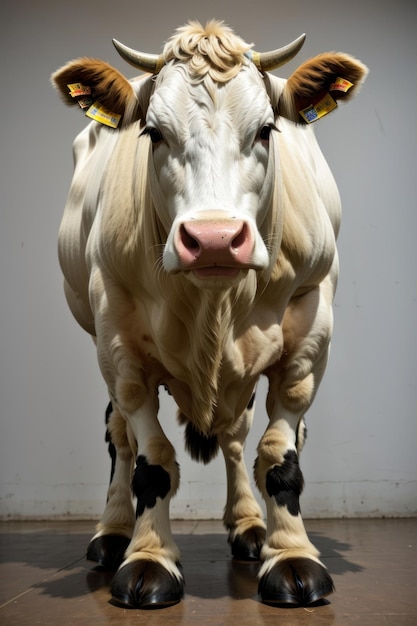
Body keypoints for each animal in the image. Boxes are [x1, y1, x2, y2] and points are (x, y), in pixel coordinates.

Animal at [52, 22, 368, 608]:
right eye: (153, 133)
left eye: (266, 130)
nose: (215, 238)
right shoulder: (119, 345)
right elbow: (150, 457)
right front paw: (149, 557)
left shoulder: (310, 333)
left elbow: (279, 455)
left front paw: (291, 555)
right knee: (119, 436)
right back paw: (112, 531)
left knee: (236, 436)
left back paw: (248, 524)